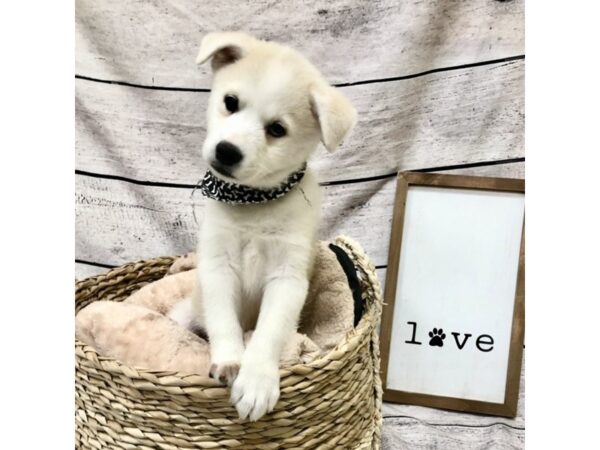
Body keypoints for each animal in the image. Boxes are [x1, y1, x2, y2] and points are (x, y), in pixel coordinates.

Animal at [169, 32, 356, 422]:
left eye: (277, 130)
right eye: (230, 102)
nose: (226, 151)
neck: (253, 204)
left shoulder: (287, 278)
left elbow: (268, 333)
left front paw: (256, 382)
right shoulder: (218, 266)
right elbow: (224, 321)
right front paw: (230, 361)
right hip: (185, 312)